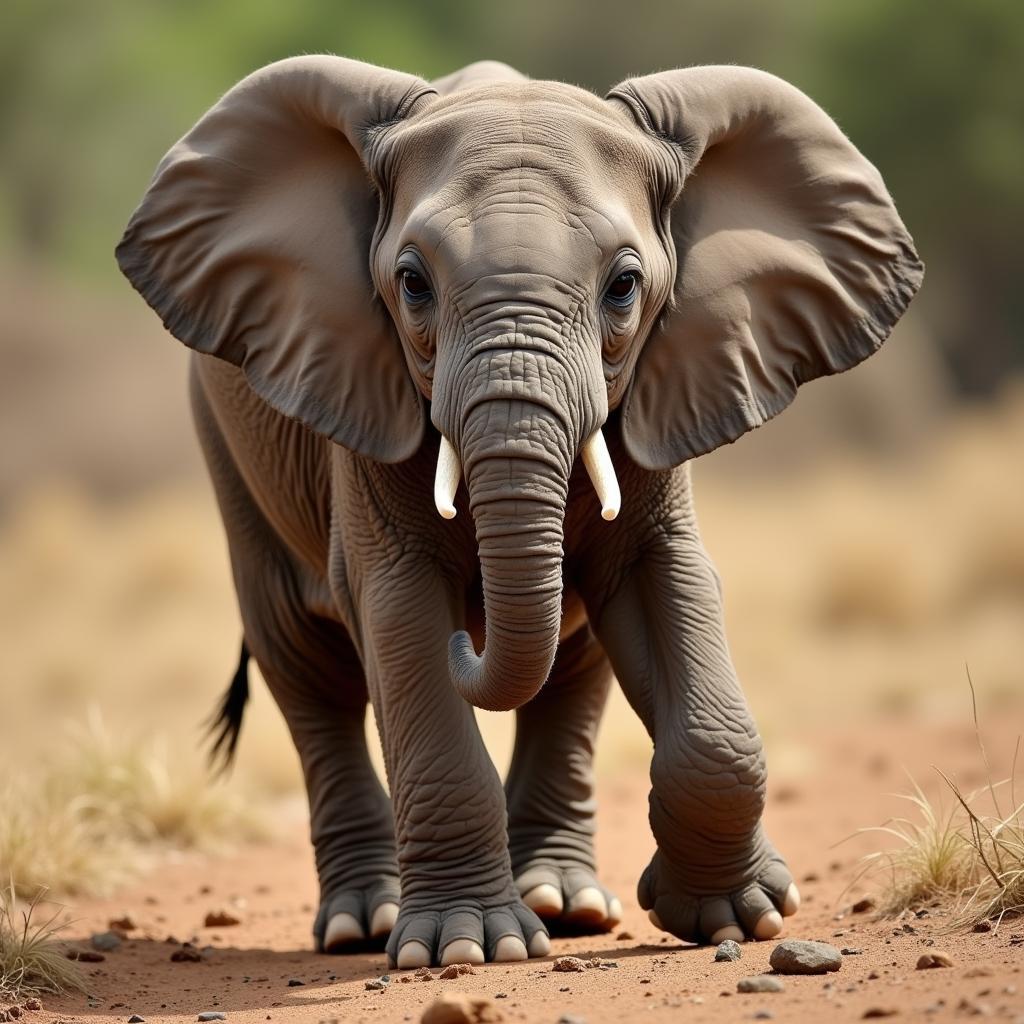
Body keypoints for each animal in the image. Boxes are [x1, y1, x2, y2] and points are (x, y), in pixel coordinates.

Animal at [116, 54, 925, 966]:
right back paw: (367, 923)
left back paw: (565, 904)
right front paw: (464, 948)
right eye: (411, 284)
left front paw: (739, 918)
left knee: (573, 665)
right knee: (307, 669)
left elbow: (665, 587)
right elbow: (398, 616)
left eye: (624, 287)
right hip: (227, 450)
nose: (470, 634)